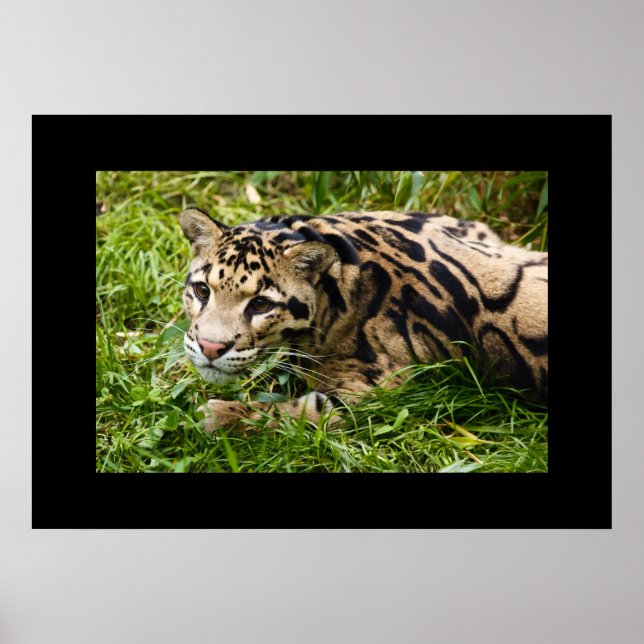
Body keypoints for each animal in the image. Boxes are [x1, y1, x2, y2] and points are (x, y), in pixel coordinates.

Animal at [179, 207, 548, 433]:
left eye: (260, 305)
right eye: (202, 290)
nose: (210, 347)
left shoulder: (381, 389)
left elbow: (297, 413)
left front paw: (221, 416)